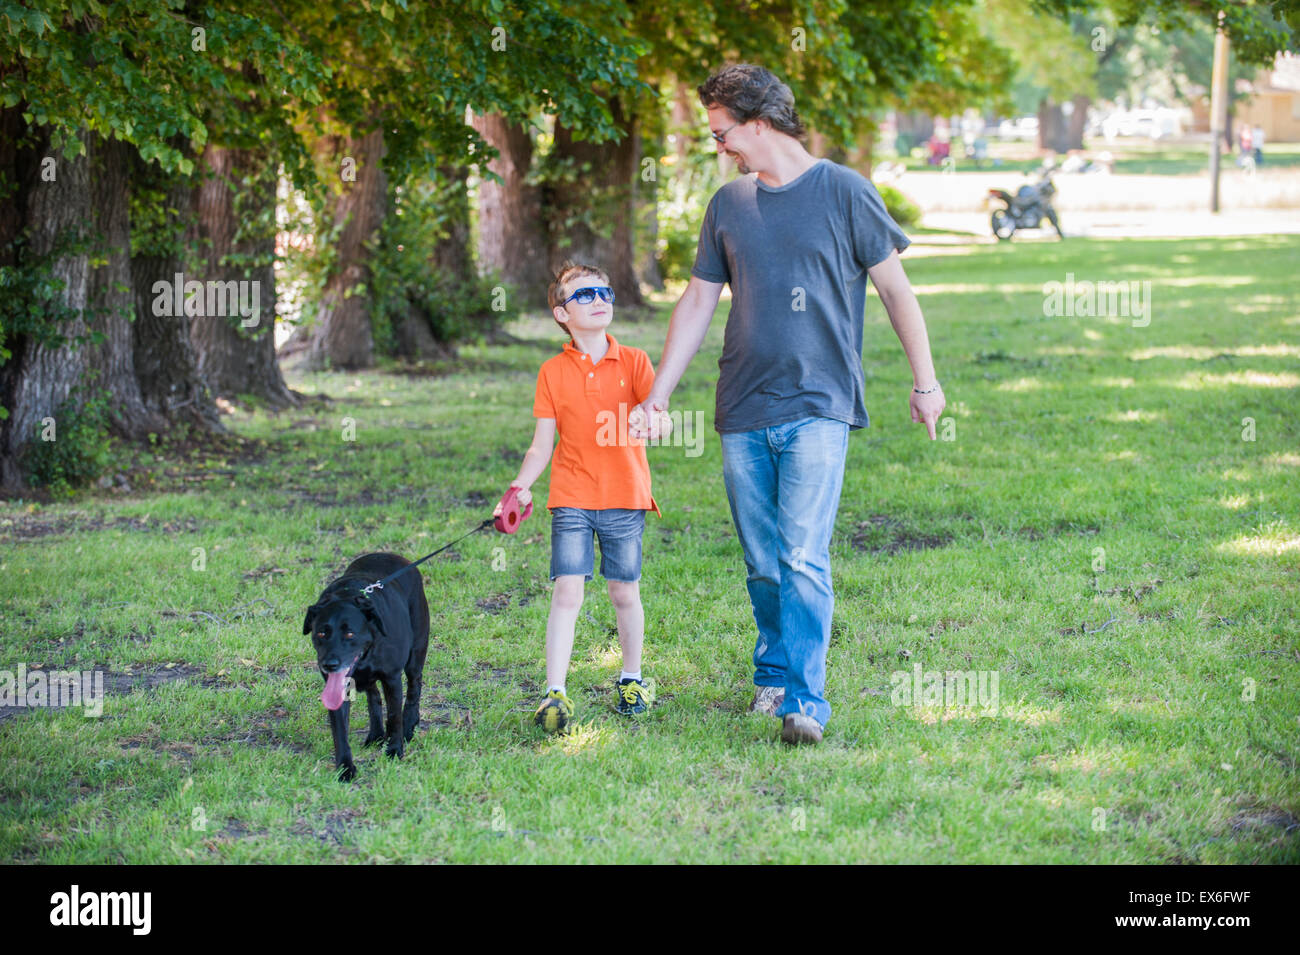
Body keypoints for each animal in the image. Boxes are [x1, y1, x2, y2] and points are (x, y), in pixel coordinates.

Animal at [301, 553, 428, 784]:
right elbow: (340, 731)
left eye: (350, 633)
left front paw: (394, 750)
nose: (329, 664)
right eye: (321, 633)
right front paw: (345, 767)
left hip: (417, 652)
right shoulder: (338, 690)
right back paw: (376, 734)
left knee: (415, 687)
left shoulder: (392, 678)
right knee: (373, 695)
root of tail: (399, 557)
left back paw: (409, 726)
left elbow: (394, 716)